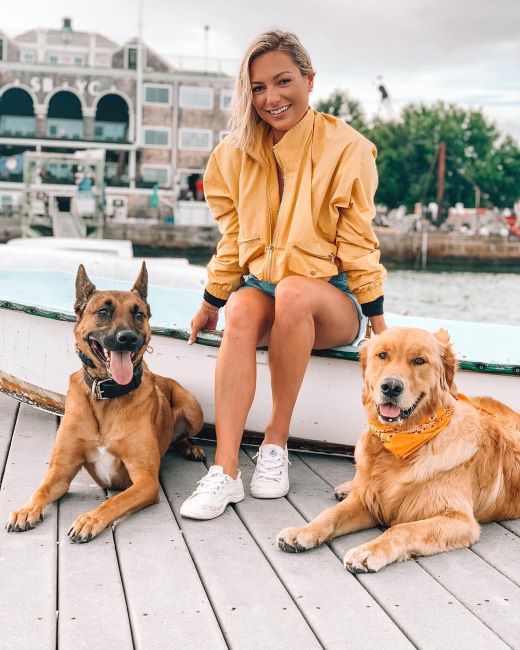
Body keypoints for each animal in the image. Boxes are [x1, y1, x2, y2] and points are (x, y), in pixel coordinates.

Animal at [7, 260, 205, 540]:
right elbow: (41, 489)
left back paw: (191, 447)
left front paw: (90, 519)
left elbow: (114, 501)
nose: (128, 338)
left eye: (138, 314)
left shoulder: (145, 480)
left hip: (192, 407)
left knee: (183, 436)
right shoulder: (61, 471)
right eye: (103, 311)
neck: (107, 393)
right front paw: (26, 510)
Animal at [278, 326, 520, 568]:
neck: (400, 444)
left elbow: (401, 529)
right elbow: (330, 514)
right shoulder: (368, 502)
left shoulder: (459, 519)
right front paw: (301, 532)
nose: (391, 387)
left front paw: (367, 551)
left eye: (419, 360)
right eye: (383, 355)